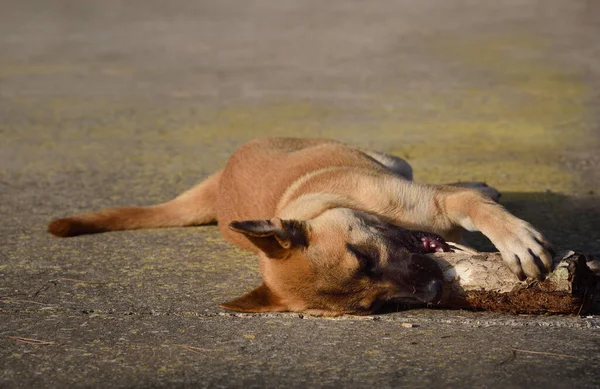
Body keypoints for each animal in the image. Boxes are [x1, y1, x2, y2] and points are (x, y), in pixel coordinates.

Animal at [47, 139, 552, 316]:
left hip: (392, 160)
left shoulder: (430, 201)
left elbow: (473, 206)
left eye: (363, 257)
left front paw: (514, 237)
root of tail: (219, 181)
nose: (431, 292)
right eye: (374, 308)